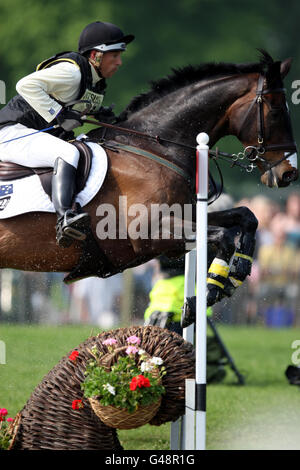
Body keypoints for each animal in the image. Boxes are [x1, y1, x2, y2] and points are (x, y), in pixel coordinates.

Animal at [0, 50, 296, 308]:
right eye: (276, 111)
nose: (289, 172)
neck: (155, 146)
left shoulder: (183, 216)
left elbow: (247, 217)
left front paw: (237, 273)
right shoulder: (149, 233)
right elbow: (223, 236)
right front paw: (208, 294)